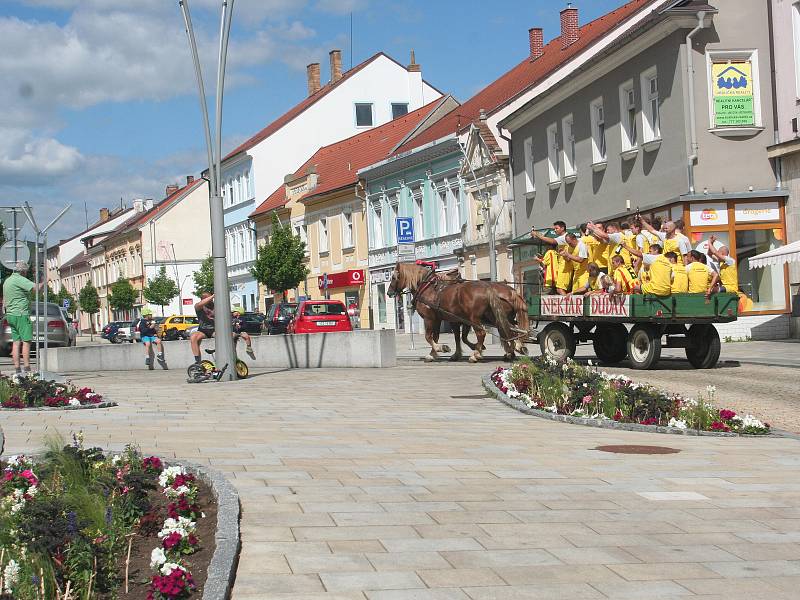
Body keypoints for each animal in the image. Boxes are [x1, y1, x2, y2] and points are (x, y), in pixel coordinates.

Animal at [390, 262, 532, 360]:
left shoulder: (430, 318)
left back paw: (477, 355)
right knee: (509, 331)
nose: (389, 292)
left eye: (394, 278)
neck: (427, 289)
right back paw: (513, 350)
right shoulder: (449, 319)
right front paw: (437, 354)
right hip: (493, 317)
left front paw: (441, 349)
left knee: (485, 333)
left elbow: (429, 337)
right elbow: (455, 337)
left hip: (476, 318)